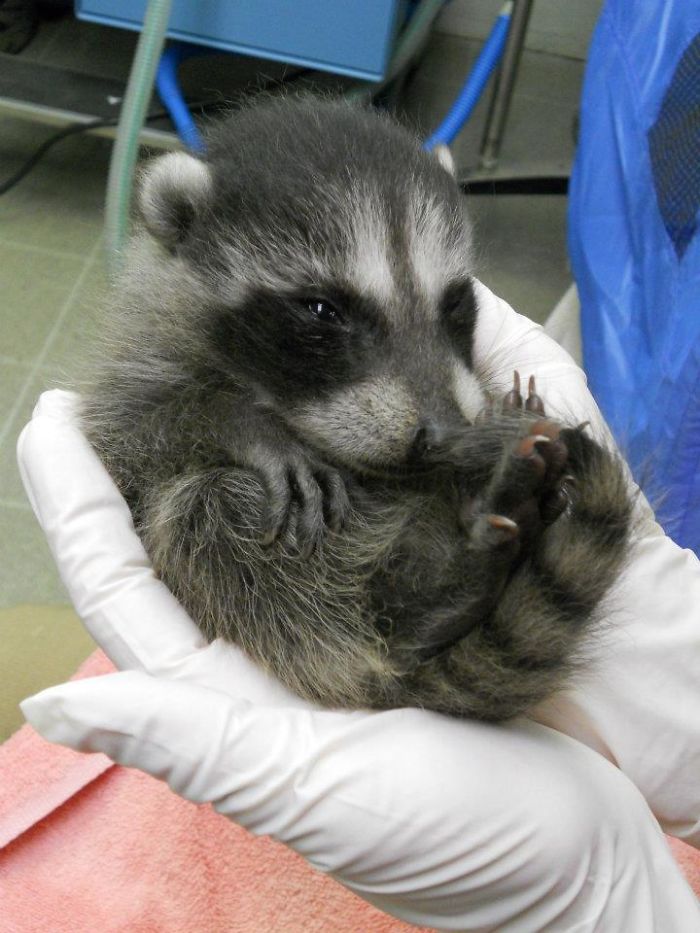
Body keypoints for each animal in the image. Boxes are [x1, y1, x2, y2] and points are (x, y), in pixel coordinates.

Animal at [80, 95, 633, 721]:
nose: (445, 437)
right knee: (206, 512)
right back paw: (430, 600)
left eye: (456, 302)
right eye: (323, 311)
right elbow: (129, 436)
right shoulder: (142, 349)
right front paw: (236, 422)